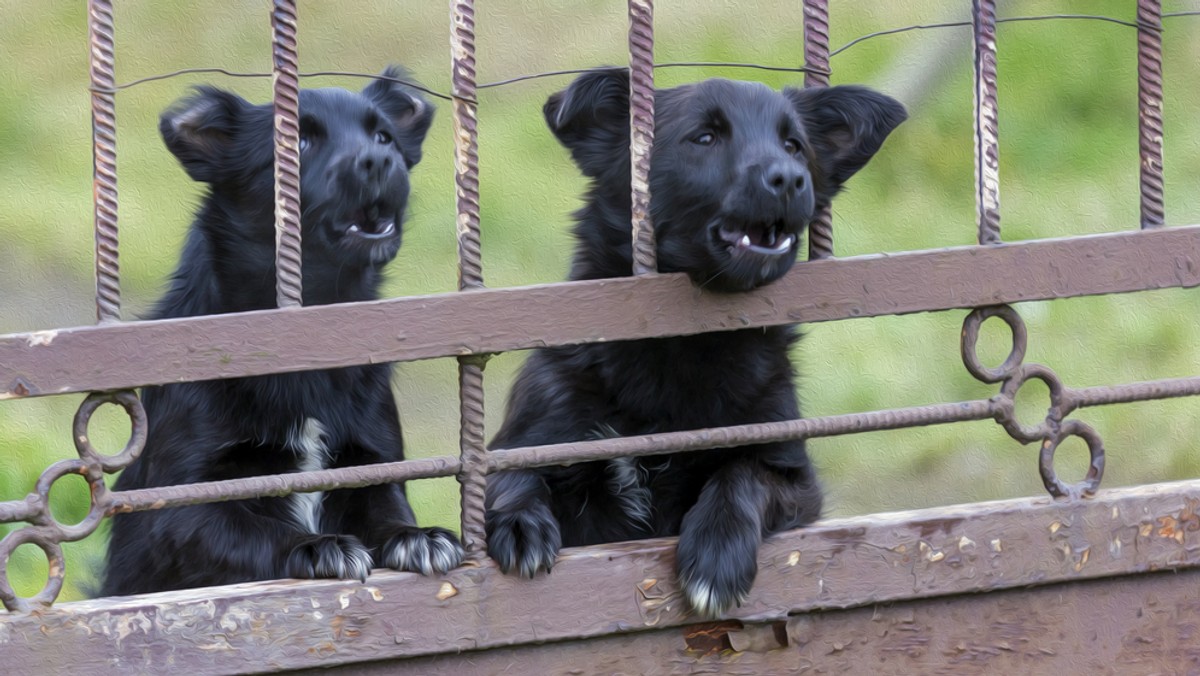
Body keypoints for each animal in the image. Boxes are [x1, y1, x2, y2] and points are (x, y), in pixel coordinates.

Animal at [100, 66, 463, 595]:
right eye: (298, 142)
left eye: (383, 137)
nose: (380, 160)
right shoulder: (180, 508)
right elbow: (252, 528)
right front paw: (316, 546)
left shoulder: (373, 465)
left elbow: (387, 510)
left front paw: (417, 536)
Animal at [482, 68, 902, 619]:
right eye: (704, 138)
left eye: (793, 146)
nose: (790, 178)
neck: (681, 345)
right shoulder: (528, 436)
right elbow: (511, 475)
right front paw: (520, 520)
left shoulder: (793, 475)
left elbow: (743, 474)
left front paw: (717, 553)